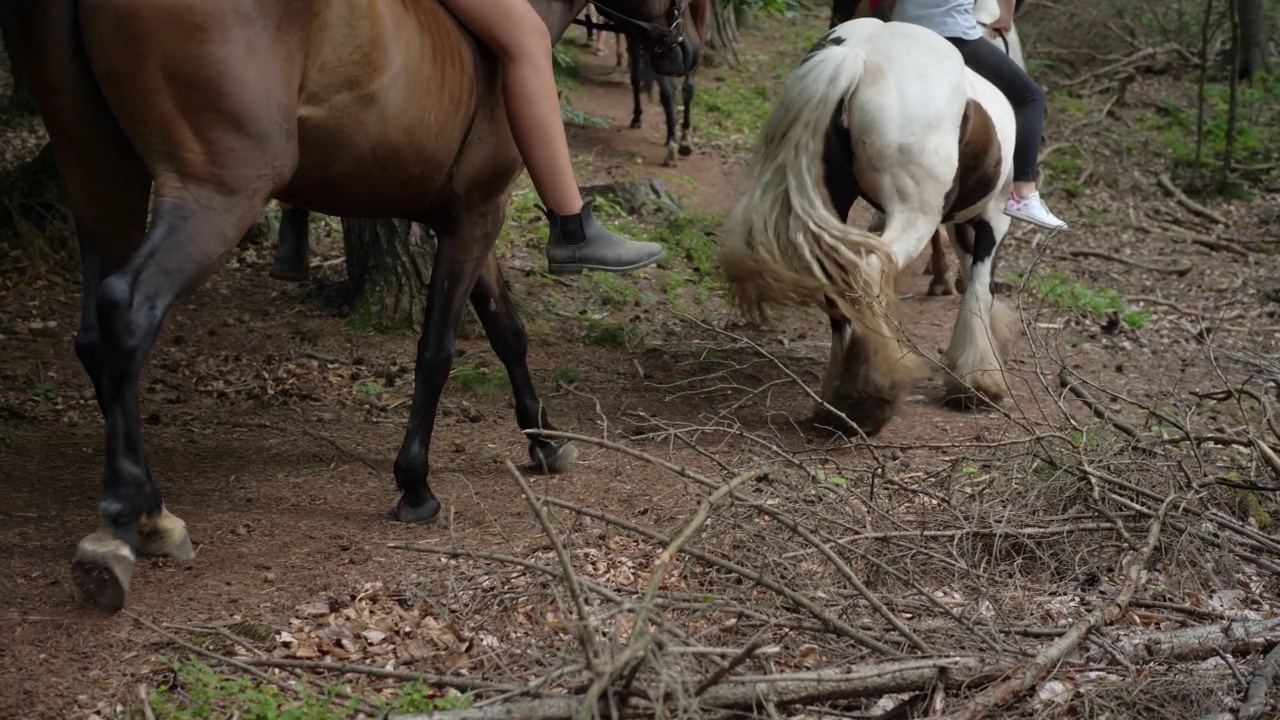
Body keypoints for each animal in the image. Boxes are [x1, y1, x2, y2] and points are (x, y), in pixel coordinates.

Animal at [20, 0, 701, 609]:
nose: (689, 52)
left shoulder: (468, 217)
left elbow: (508, 332)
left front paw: (544, 438)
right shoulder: (479, 214)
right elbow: (439, 350)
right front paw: (415, 484)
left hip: (102, 183)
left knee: (94, 335)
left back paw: (151, 509)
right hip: (219, 188)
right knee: (128, 309)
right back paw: (124, 525)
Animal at [622, 0, 711, 165]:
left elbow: (636, 75)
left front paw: (637, 116)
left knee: (668, 89)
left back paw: (672, 146)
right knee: (688, 87)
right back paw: (684, 140)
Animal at [721, 16, 1018, 435]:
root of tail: (856, 55)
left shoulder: (962, 221)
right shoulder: (994, 216)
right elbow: (979, 285)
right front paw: (978, 381)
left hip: (836, 199)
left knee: (838, 280)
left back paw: (839, 403)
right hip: (914, 215)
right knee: (870, 272)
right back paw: (870, 396)